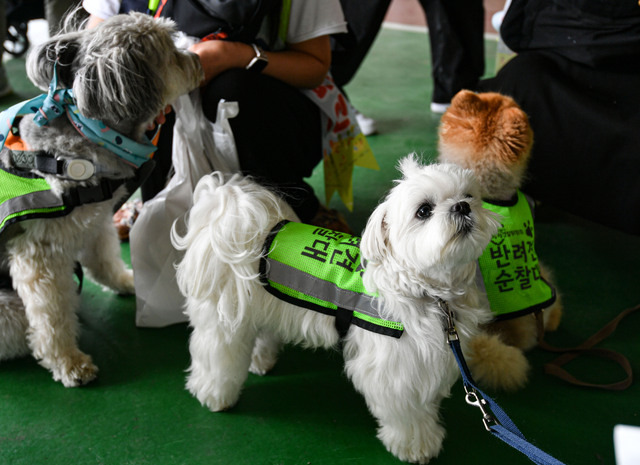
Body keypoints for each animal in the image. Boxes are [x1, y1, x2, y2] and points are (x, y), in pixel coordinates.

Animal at [0, 12, 202, 386]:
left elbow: (105, 259)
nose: (198, 59)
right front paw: (69, 362)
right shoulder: (40, 257)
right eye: (170, 53)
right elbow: (52, 318)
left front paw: (127, 281)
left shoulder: (96, 220)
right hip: (8, 310)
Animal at [170, 158, 520, 462]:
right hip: (223, 319)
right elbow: (406, 411)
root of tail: (231, 217)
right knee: (215, 354)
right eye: (424, 210)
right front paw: (416, 444)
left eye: (469, 196)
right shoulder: (394, 370)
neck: (426, 290)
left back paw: (261, 360)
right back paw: (214, 394)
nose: (462, 206)